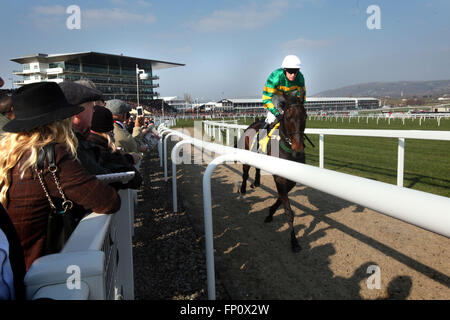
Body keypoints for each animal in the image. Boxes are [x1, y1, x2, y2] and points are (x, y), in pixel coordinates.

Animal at [237, 89, 308, 252]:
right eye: (288, 117)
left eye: (305, 116)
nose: (298, 151)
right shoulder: (279, 177)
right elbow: (288, 210)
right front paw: (294, 242)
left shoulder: (292, 179)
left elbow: (282, 198)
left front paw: (270, 213)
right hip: (247, 153)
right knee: (245, 172)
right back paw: (243, 188)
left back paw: (256, 182)